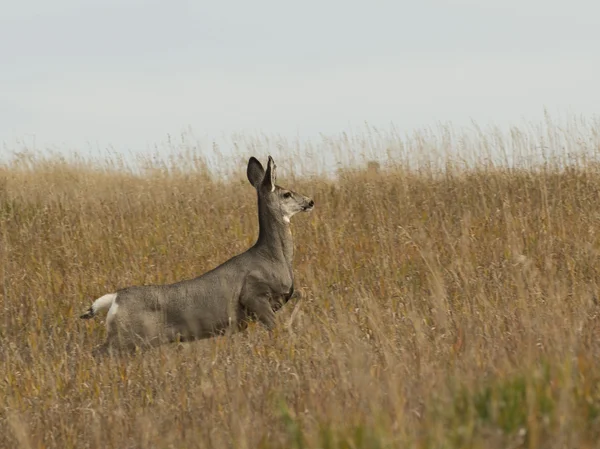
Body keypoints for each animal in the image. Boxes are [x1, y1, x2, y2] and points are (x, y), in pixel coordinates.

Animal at [78, 156, 314, 356]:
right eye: (287, 194)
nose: (310, 201)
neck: (273, 257)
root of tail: (115, 299)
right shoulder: (253, 295)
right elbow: (277, 327)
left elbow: (302, 292)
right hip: (127, 338)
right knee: (97, 353)